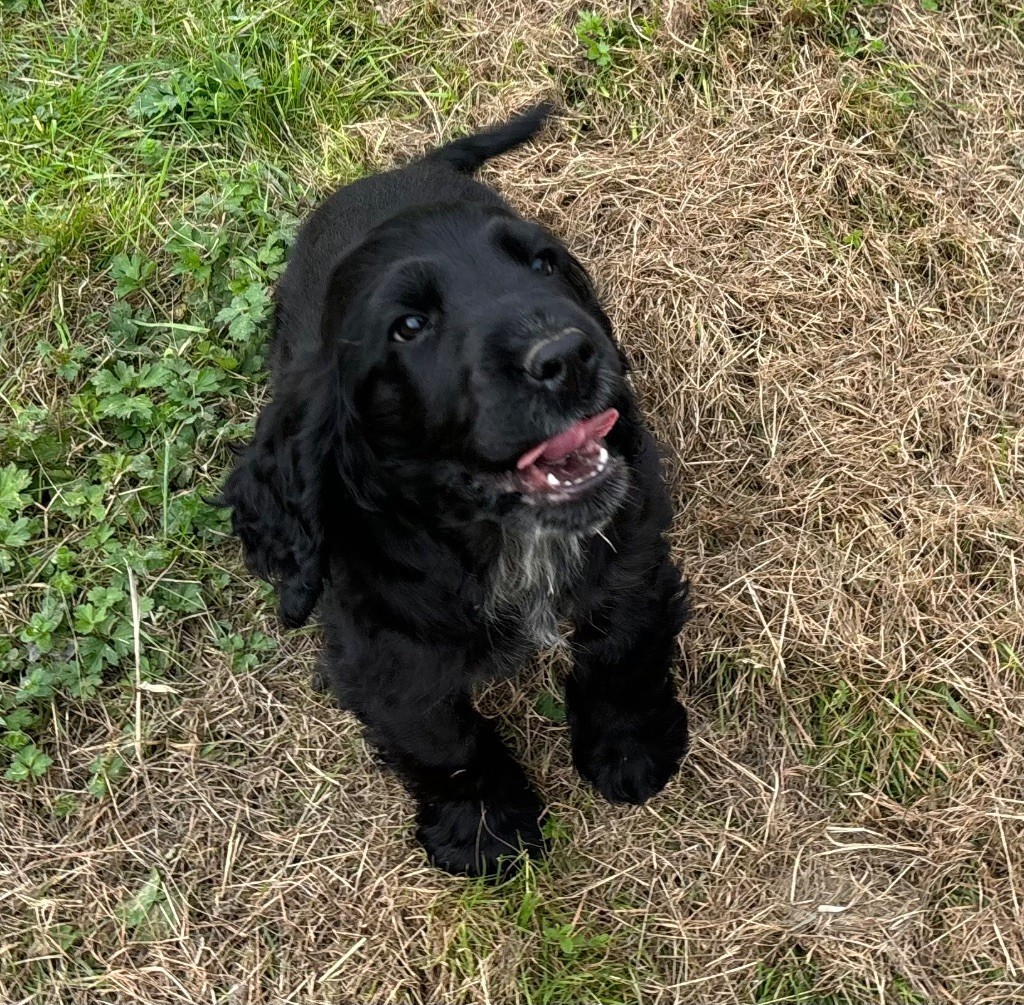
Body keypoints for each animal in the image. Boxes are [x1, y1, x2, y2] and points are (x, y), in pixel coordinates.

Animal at [223, 101, 688, 868]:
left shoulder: (630, 551)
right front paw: (485, 831)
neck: (499, 537)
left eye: (545, 263)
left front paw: (632, 749)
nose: (568, 355)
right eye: (410, 325)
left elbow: (622, 649)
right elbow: (442, 739)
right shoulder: (385, 649)